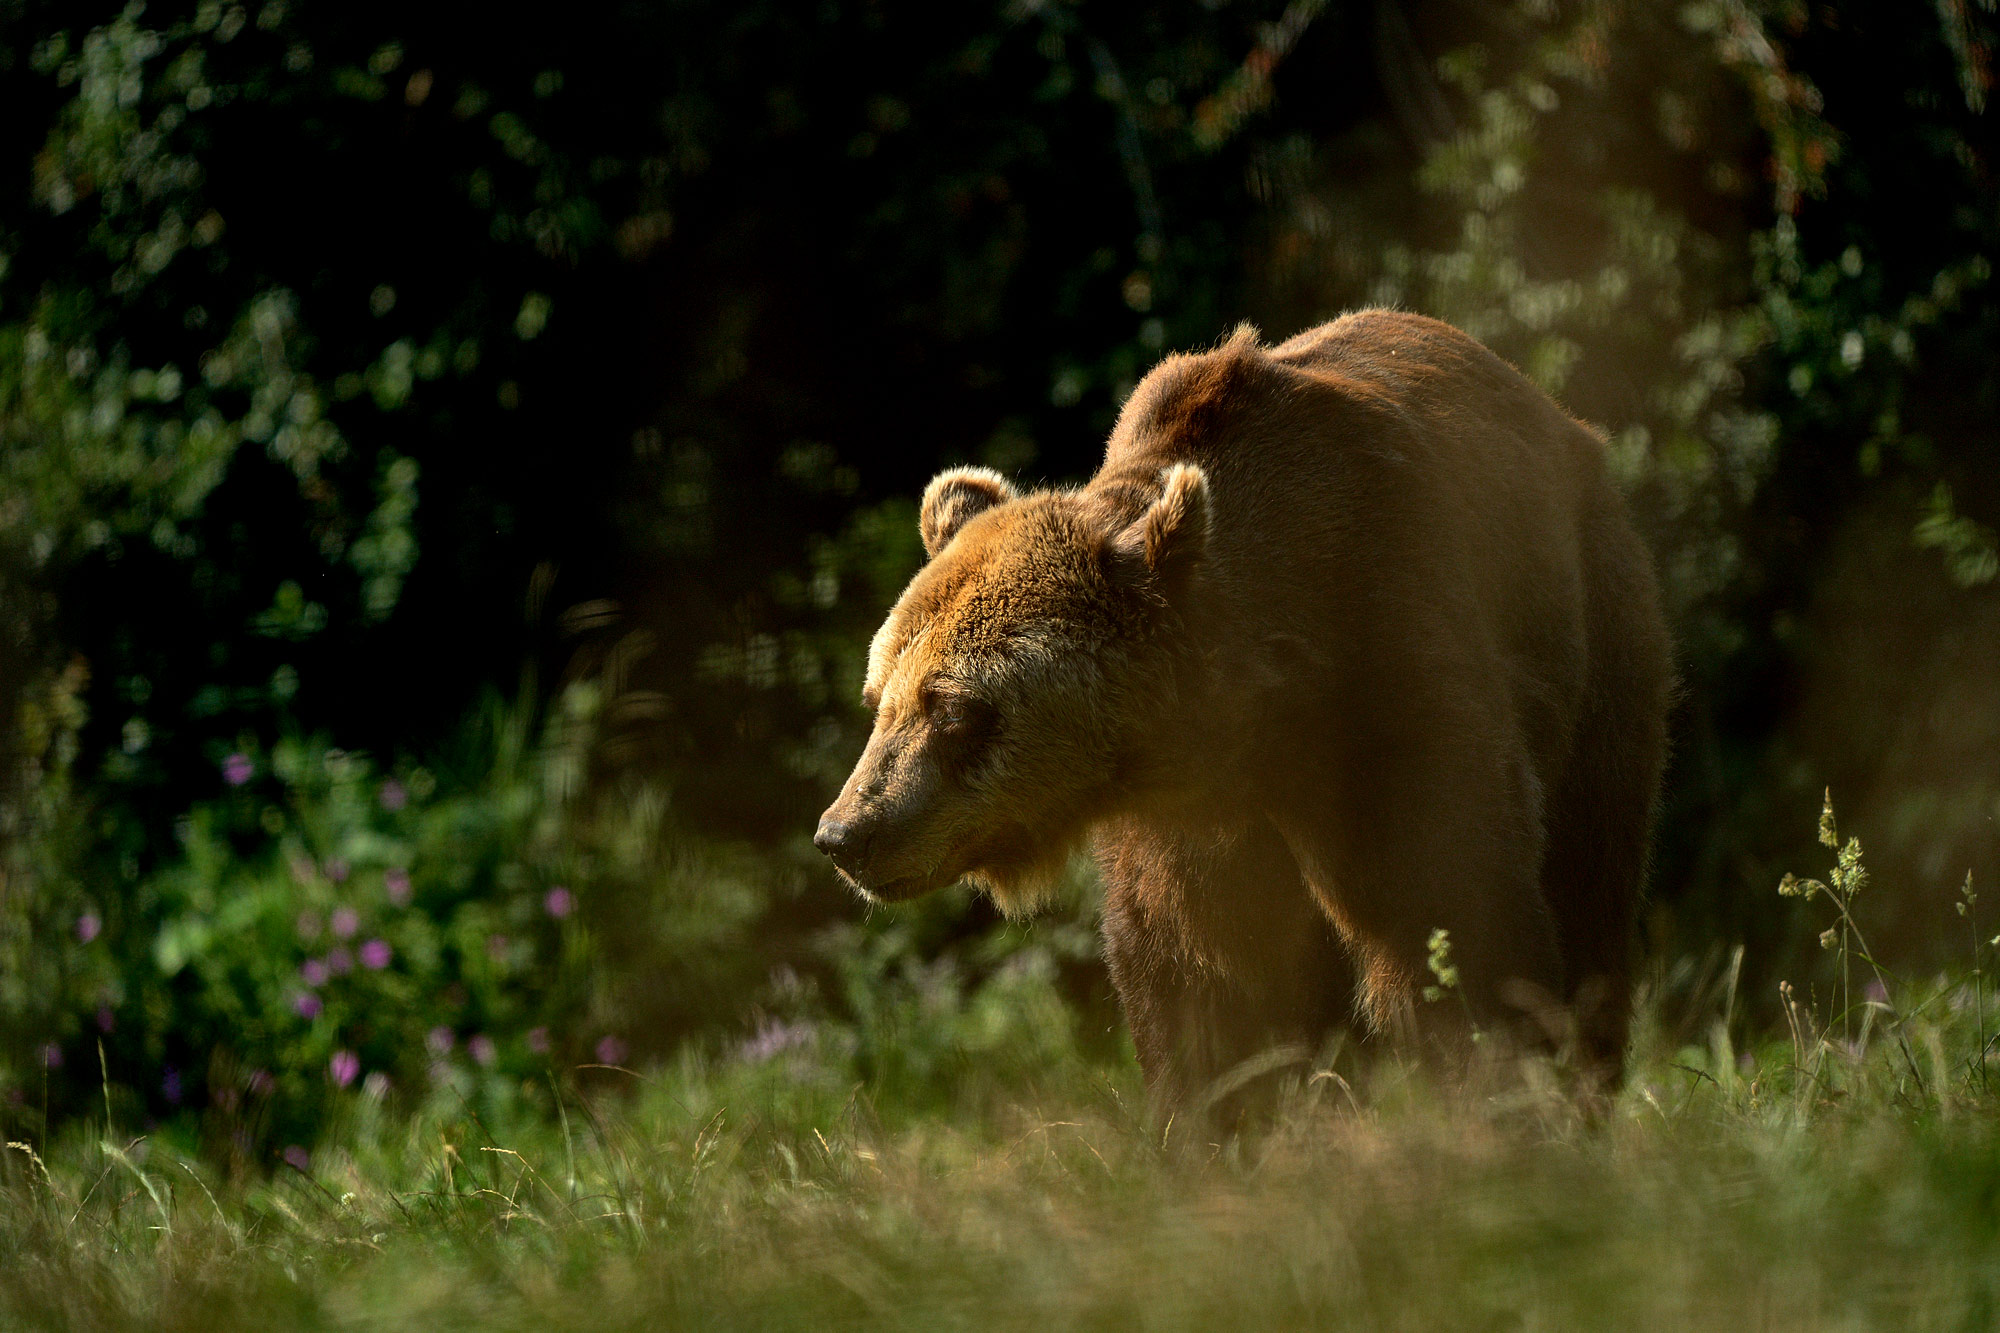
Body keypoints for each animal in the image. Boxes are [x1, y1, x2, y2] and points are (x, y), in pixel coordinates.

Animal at [812, 308, 1672, 1096]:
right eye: (878, 696)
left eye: (953, 706)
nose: (846, 832)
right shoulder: (1186, 827)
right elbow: (1202, 990)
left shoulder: (1390, 684)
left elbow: (1459, 908)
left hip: (1602, 642)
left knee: (1590, 878)